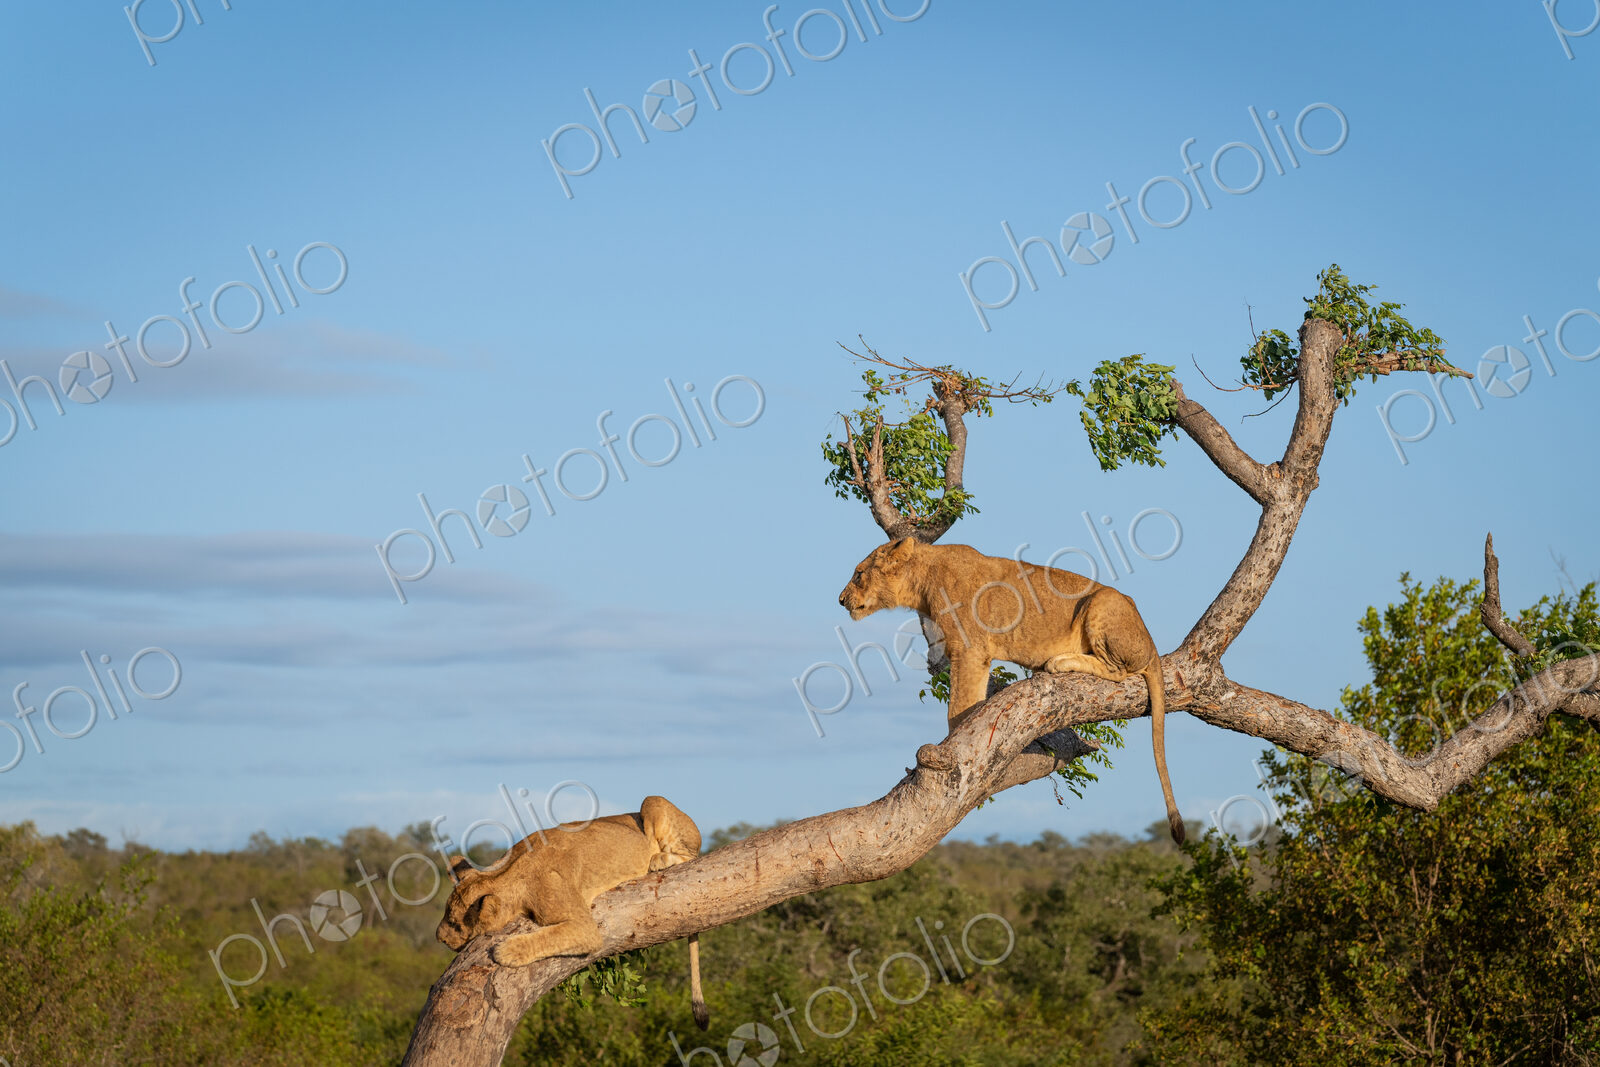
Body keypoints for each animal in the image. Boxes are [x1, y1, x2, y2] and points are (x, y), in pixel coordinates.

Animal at [436, 794, 709, 1028]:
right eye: (446, 914)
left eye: (456, 924)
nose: (439, 938)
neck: (506, 873)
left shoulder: (583, 925)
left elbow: (549, 936)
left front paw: (507, 951)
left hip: (653, 802)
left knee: (690, 856)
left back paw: (659, 860)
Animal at [839, 538, 1185, 843]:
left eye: (859, 573)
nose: (840, 600)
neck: (922, 582)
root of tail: (1151, 642)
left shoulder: (970, 649)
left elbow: (959, 708)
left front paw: (957, 752)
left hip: (1102, 602)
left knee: (1119, 669)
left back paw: (1059, 661)